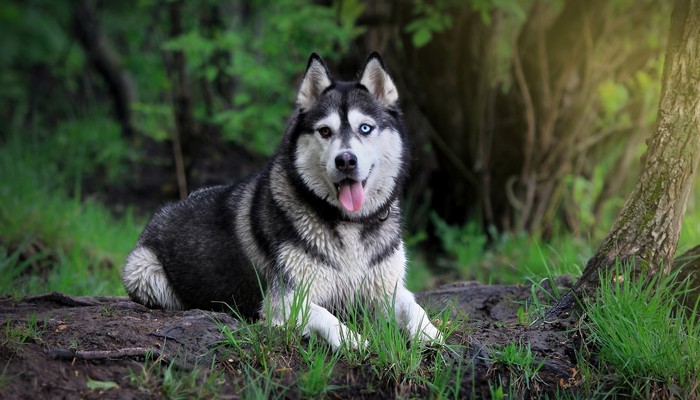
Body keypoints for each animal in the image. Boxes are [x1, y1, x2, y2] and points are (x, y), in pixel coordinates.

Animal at [122, 54, 440, 350]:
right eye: (325, 131)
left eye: (365, 128)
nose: (346, 160)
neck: (349, 224)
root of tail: (164, 210)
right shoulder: (284, 300)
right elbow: (326, 316)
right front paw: (352, 340)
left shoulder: (387, 289)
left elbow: (414, 308)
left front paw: (431, 334)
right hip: (143, 272)